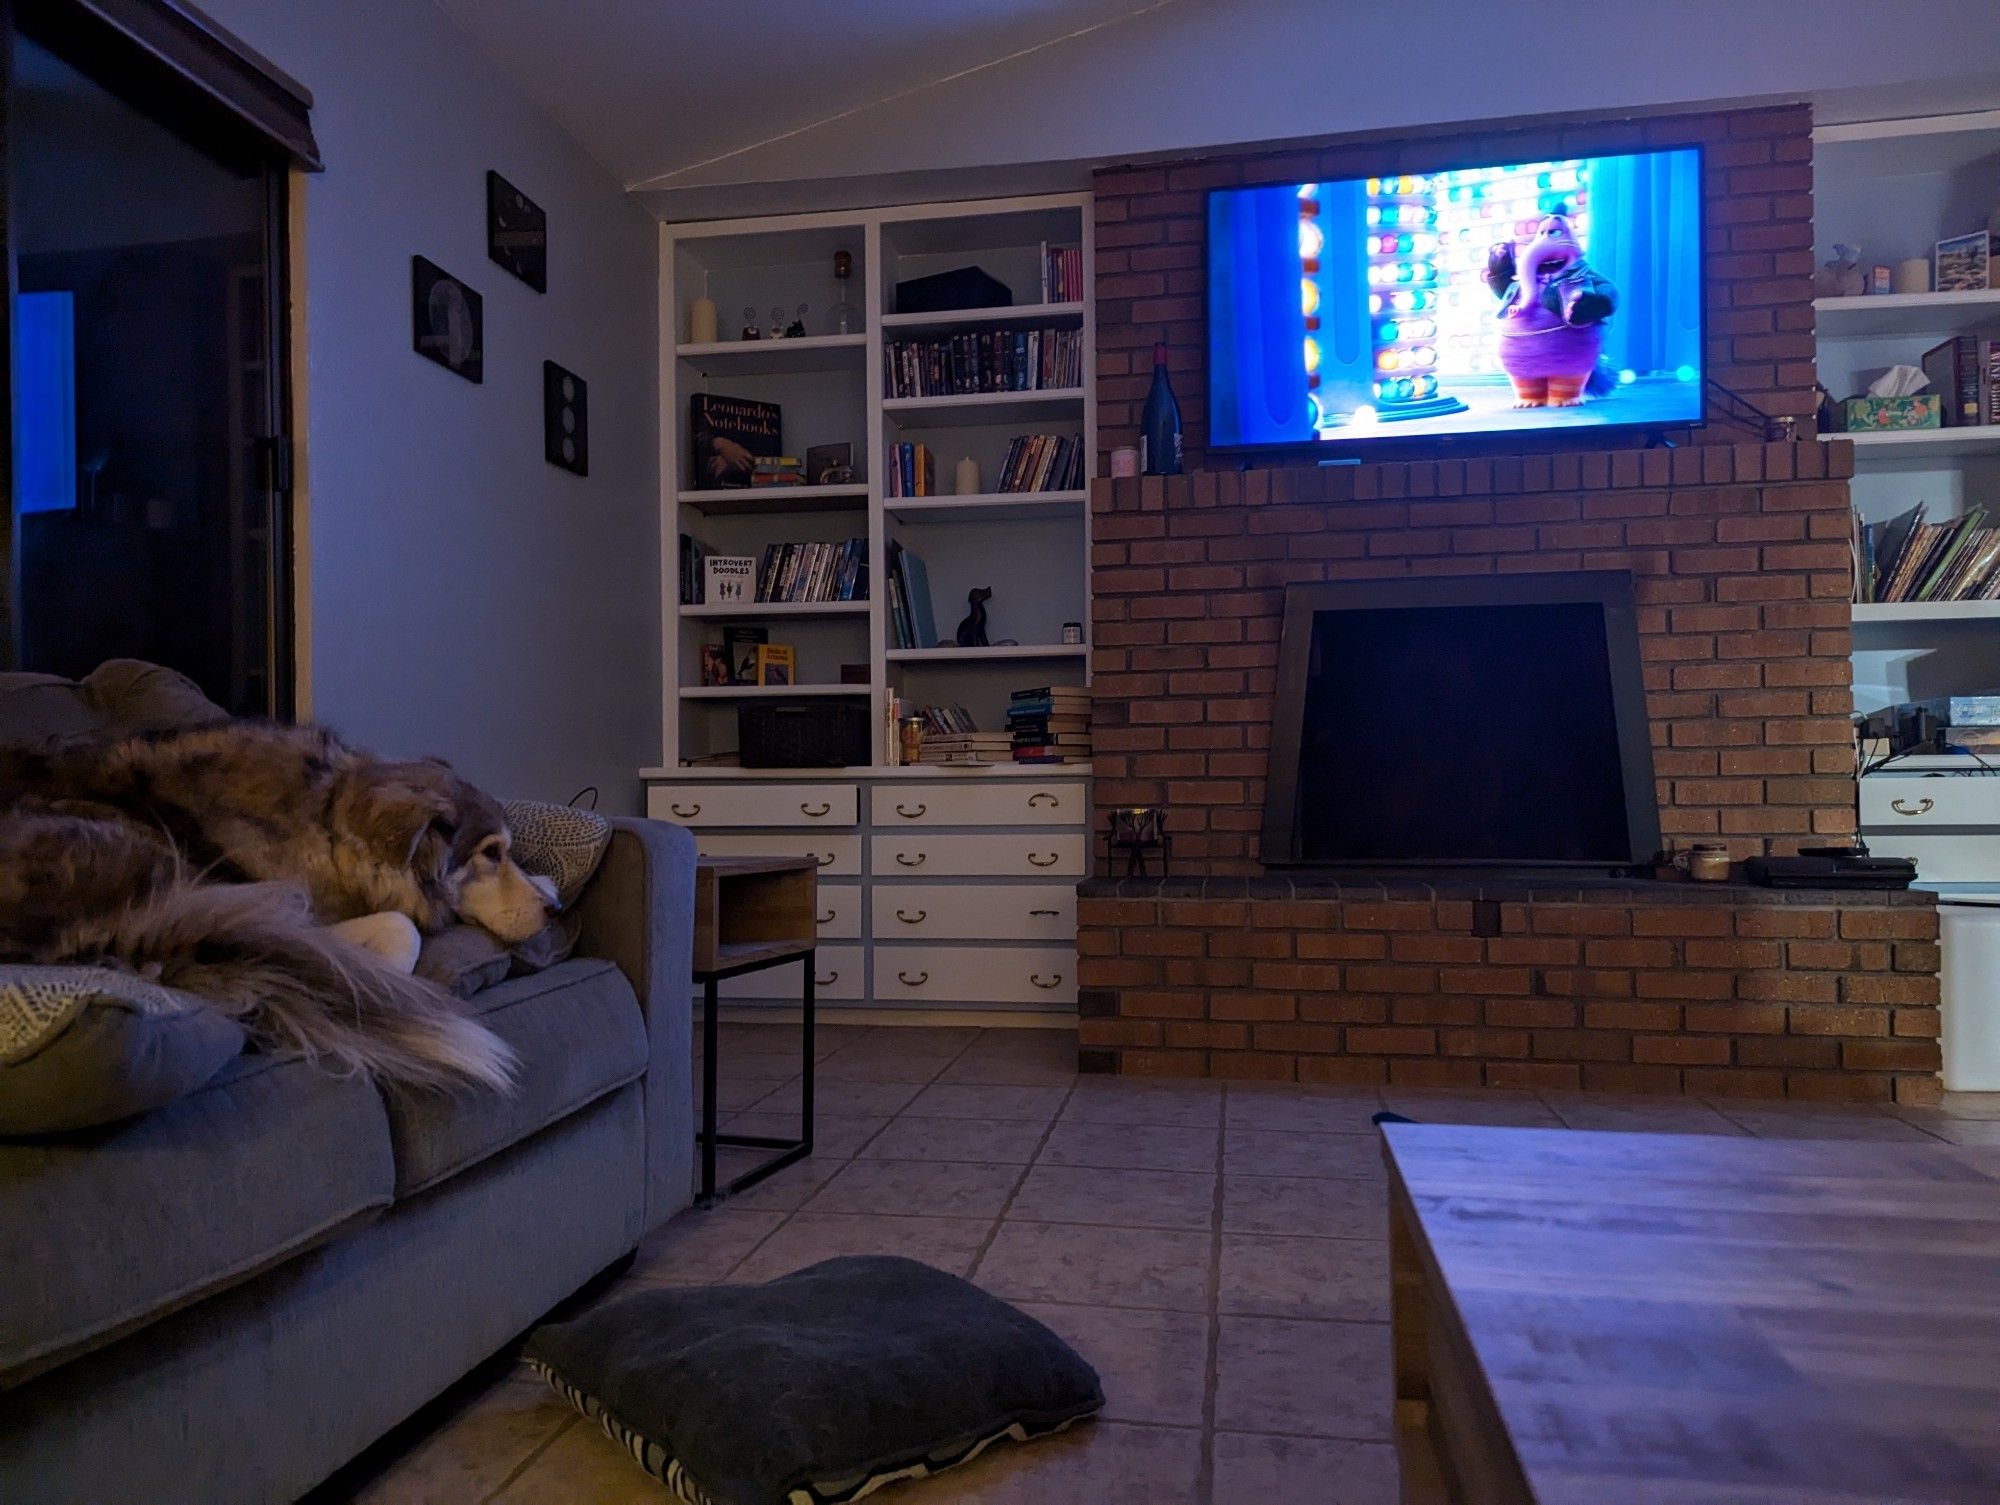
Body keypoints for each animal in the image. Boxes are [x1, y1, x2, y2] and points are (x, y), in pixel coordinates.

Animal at [0, 724, 556, 1088]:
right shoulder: (276, 898)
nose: (554, 912)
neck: (328, 819)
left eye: (509, 851)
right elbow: (402, 929)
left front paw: (547, 884)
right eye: (490, 853)